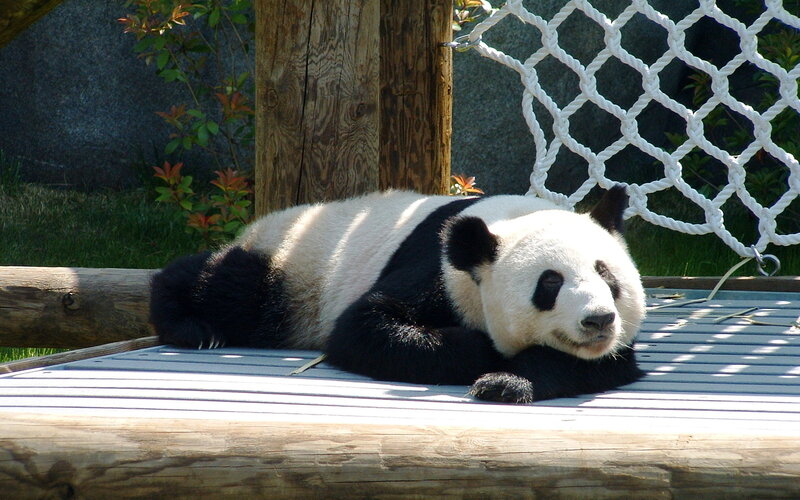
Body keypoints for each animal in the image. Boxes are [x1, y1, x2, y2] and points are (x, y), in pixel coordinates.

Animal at [150, 186, 646, 403]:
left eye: (607, 276)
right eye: (550, 283)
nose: (598, 320)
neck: (510, 220)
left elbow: (599, 365)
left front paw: (506, 381)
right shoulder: (437, 266)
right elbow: (365, 327)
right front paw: (482, 350)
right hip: (293, 268)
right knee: (228, 286)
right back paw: (194, 326)